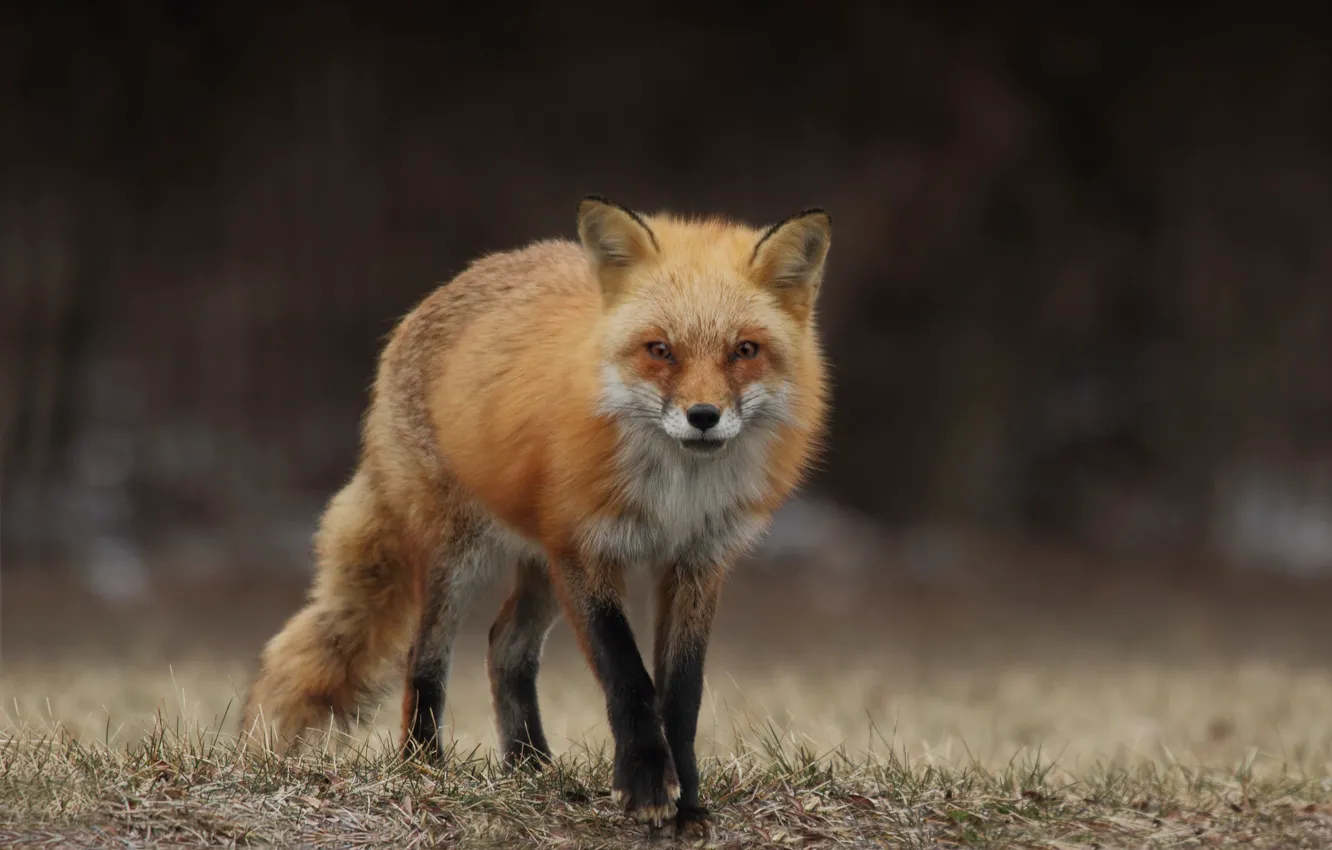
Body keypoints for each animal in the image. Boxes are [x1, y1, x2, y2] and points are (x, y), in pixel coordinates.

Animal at [240, 196, 831, 834]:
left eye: (744, 350)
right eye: (659, 349)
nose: (703, 416)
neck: (675, 494)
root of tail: (444, 290)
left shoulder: (697, 562)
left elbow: (682, 695)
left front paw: (689, 804)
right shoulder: (586, 550)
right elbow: (628, 677)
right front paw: (647, 785)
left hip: (543, 566)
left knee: (505, 647)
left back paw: (530, 768)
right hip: (462, 556)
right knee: (425, 657)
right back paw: (425, 766)